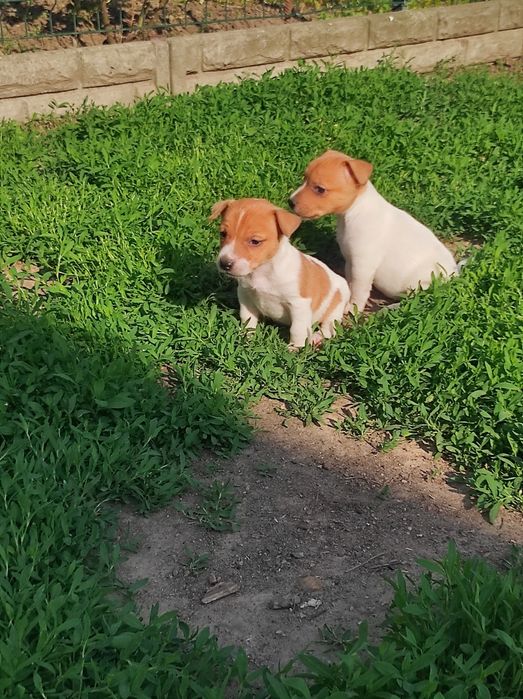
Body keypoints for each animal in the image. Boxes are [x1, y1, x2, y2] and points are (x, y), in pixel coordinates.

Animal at [210, 197, 350, 349]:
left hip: (334, 310)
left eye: (255, 241)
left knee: (329, 329)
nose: (224, 263)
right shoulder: (245, 295)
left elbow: (297, 329)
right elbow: (247, 318)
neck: (262, 271)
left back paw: (316, 338)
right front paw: (246, 338)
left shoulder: (299, 304)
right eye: (223, 234)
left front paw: (294, 348)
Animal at [289, 150, 458, 313]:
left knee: (415, 299)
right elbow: (351, 282)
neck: (354, 211)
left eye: (320, 189)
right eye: (304, 178)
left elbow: (359, 289)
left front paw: (353, 307)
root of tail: (455, 274)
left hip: (423, 282)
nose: (289, 202)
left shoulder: (363, 265)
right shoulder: (351, 260)